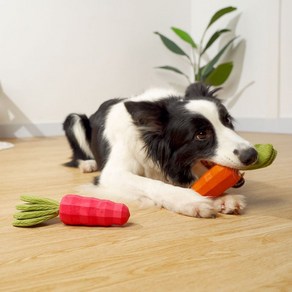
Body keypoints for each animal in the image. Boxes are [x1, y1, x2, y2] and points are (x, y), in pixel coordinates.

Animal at [62, 83, 256, 218]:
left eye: (227, 120)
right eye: (201, 134)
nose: (252, 155)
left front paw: (223, 198)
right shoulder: (112, 174)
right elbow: (152, 184)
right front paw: (190, 200)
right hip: (74, 119)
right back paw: (88, 163)